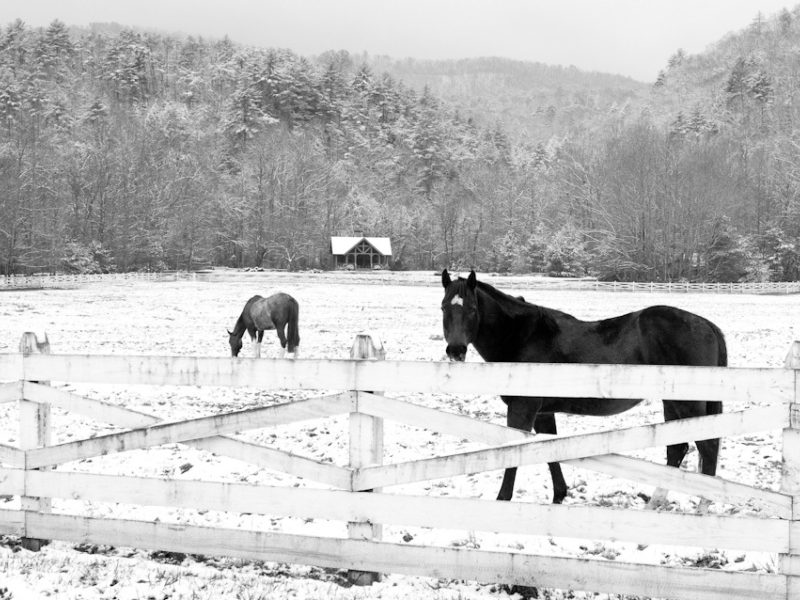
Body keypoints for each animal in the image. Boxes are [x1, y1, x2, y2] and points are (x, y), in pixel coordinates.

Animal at [440, 269, 726, 506]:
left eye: (472, 309)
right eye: (443, 307)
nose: (455, 351)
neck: (524, 336)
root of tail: (708, 326)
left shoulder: (523, 408)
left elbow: (515, 453)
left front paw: (503, 498)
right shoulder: (543, 412)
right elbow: (549, 450)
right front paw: (559, 495)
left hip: (688, 405)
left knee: (707, 446)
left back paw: (703, 505)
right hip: (673, 404)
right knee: (678, 449)